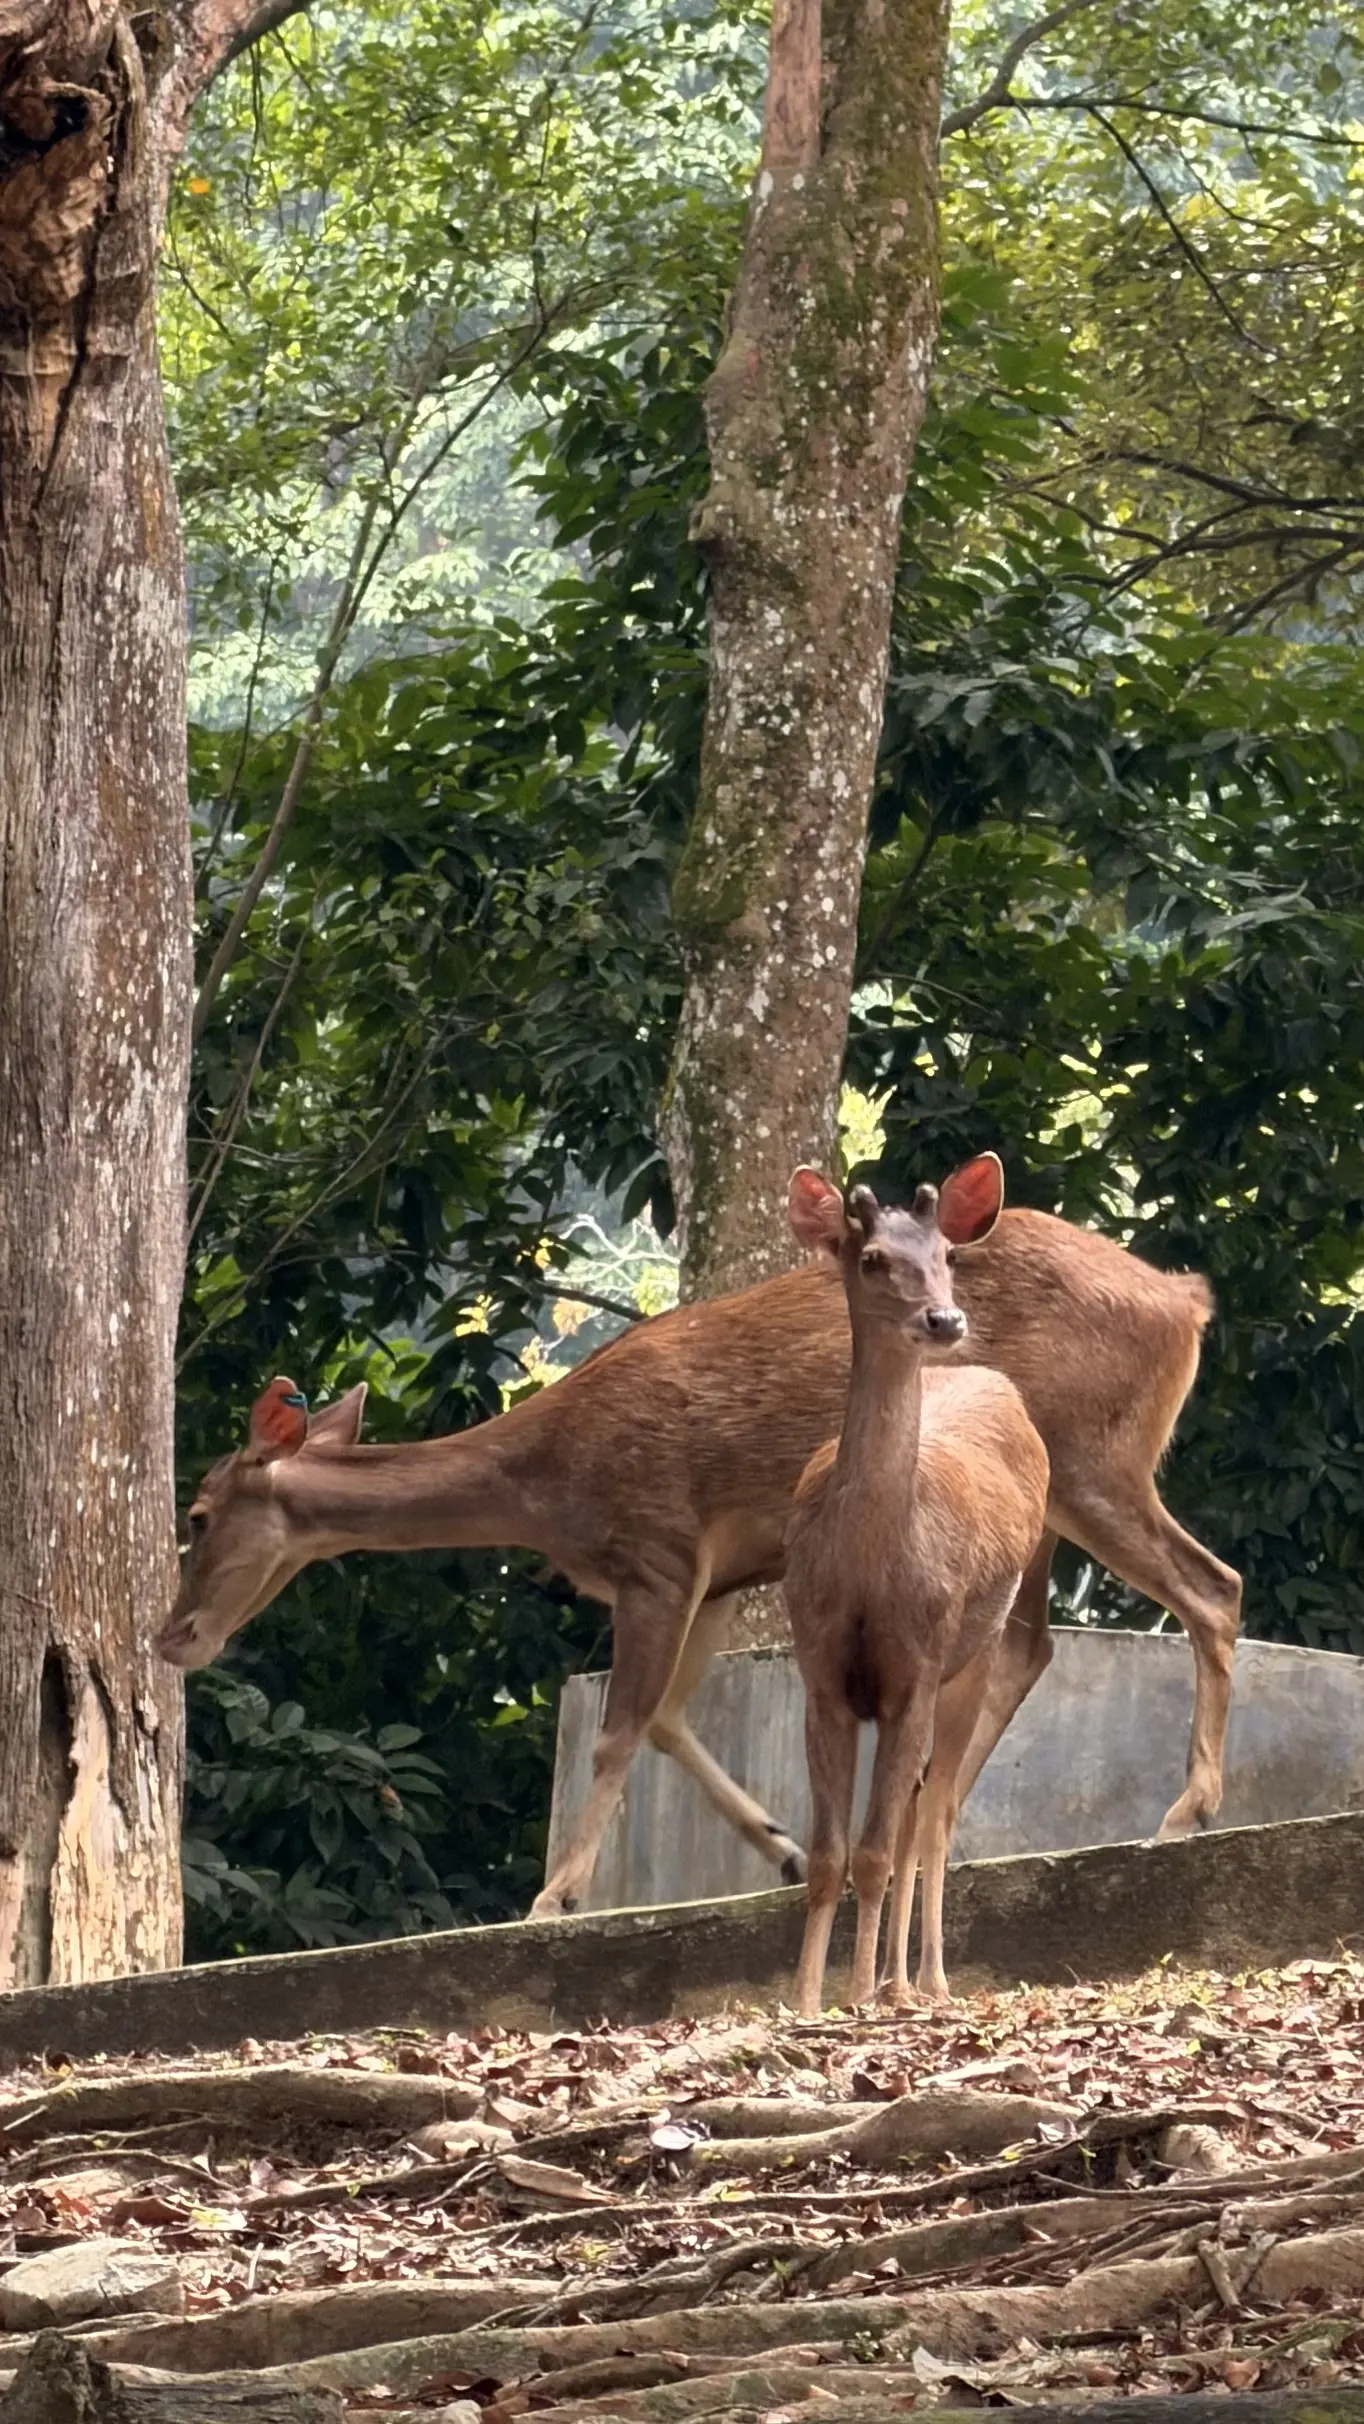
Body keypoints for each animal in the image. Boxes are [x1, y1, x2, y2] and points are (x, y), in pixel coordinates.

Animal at [158, 1152, 1241, 1922]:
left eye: (197, 1518)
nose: (173, 1638)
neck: (542, 1483)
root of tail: (1186, 1304)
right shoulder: (718, 1572)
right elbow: (674, 1719)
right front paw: (786, 1846)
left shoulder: (658, 1549)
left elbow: (620, 1730)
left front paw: (555, 1894)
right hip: (1045, 1501)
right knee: (1032, 1642)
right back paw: (945, 1813)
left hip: (1094, 1457)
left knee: (1209, 1586)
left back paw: (1183, 1811)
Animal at [783, 1160, 1049, 2015]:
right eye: (871, 1259)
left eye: (948, 1255)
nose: (944, 1319)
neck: (872, 1576)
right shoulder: (821, 1671)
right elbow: (829, 1854)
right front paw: (809, 1998)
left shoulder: (918, 1666)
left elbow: (873, 1849)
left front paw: (858, 1996)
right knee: (915, 1809)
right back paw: (897, 1978)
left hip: (978, 1649)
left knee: (936, 1809)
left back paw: (923, 1980)